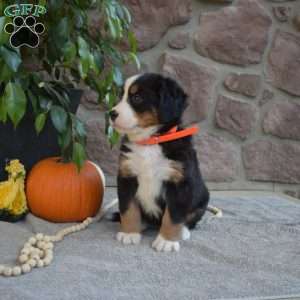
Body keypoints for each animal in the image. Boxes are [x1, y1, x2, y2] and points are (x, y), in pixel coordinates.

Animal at [109, 74, 210, 252]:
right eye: (120, 96)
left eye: (137, 97)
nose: (111, 113)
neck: (150, 142)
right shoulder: (127, 176)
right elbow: (129, 209)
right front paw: (129, 233)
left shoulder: (179, 182)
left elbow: (173, 216)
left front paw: (167, 241)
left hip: (202, 199)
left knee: (190, 219)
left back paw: (183, 231)